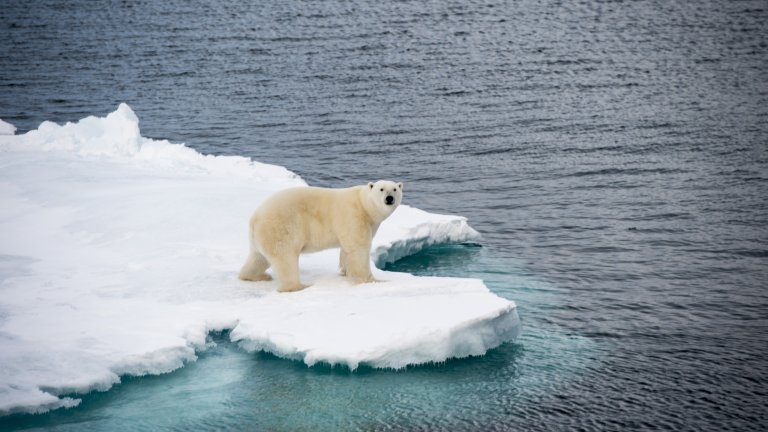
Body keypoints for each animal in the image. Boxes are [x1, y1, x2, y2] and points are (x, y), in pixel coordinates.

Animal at [240, 179, 404, 294]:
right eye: (381, 189)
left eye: (395, 189)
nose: (389, 198)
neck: (364, 204)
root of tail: (254, 218)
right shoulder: (354, 215)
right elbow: (358, 248)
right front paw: (374, 281)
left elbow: (346, 249)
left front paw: (344, 271)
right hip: (281, 228)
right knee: (285, 258)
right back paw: (299, 286)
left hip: (261, 237)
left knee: (258, 258)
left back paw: (256, 276)